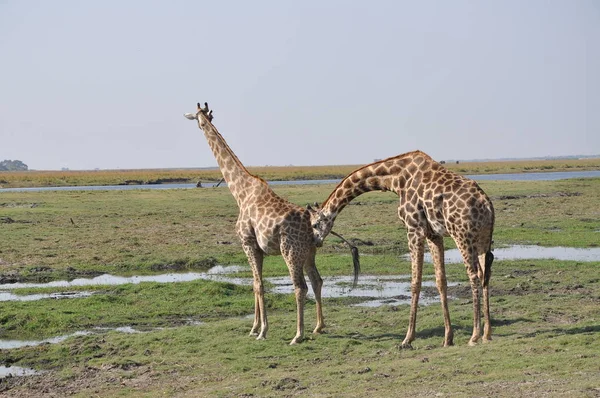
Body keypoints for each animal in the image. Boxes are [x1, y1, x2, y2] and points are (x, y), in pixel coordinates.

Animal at [185, 103, 358, 346]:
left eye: (199, 119)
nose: (200, 124)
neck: (240, 192)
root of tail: (311, 225)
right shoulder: (258, 248)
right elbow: (255, 283)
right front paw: (254, 327)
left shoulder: (247, 242)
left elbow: (259, 284)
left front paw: (262, 330)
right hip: (309, 252)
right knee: (317, 280)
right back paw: (318, 326)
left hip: (290, 252)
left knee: (300, 287)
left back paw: (298, 335)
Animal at [308, 151, 494, 346]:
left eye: (314, 224)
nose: (315, 242)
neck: (396, 179)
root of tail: (487, 205)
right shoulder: (433, 234)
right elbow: (440, 281)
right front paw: (447, 338)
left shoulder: (414, 229)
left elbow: (415, 282)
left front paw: (408, 338)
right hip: (483, 239)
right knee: (485, 275)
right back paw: (487, 333)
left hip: (462, 236)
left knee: (474, 276)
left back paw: (474, 335)